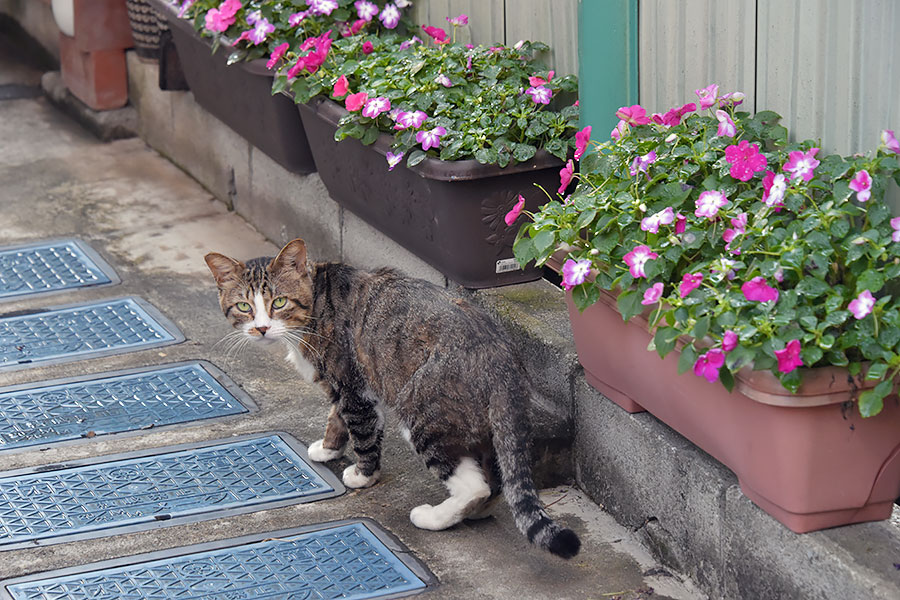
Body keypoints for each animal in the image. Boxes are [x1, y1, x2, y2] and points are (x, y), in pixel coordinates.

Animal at [204, 238, 580, 556]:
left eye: (279, 302)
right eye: (243, 306)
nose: (261, 328)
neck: (315, 304)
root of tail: (501, 355)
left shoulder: (354, 386)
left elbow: (362, 433)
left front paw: (362, 475)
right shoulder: (344, 387)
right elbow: (335, 417)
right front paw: (328, 448)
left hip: (423, 415)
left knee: (474, 485)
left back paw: (434, 517)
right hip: (477, 422)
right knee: (496, 479)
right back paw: (473, 513)